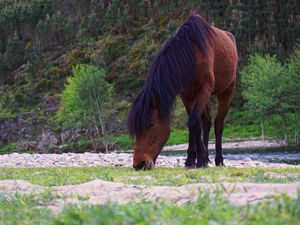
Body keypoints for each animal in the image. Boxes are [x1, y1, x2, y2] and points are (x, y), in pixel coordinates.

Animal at [127, 12, 238, 171]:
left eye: (151, 124)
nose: (139, 163)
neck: (191, 53)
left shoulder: (205, 89)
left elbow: (193, 122)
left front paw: (194, 160)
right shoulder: (186, 94)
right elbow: (195, 124)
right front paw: (197, 159)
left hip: (226, 92)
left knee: (218, 124)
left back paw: (219, 160)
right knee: (206, 122)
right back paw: (206, 158)